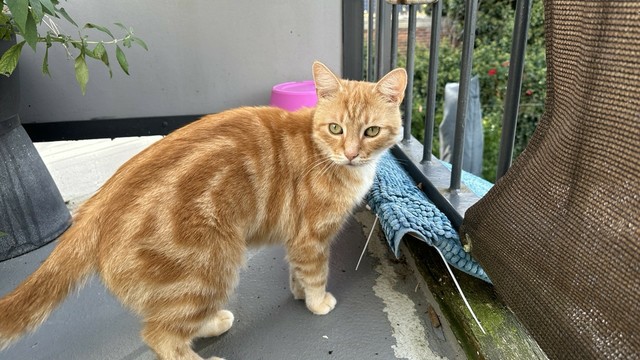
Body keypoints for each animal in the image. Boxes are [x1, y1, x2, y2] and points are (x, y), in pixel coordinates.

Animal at [0, 62, 408, 360]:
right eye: (336, 128)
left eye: (371, 131)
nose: (351, 153)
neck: (323, 153)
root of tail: (97, 207)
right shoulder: (311, 236)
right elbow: (315, 273)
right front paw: (317, 301)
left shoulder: (296, 237)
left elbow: (295, 270)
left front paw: (297, 293)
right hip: (211, 266)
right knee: (160, 335)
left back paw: (212, 322)